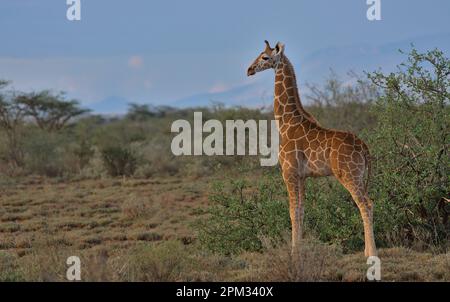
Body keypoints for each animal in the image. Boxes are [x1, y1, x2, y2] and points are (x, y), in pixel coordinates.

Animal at [248, 40, 378, 258]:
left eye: (265, 57)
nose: (249, 70)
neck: (286, 123)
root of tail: (364, 147)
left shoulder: (289, 172)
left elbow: (292, 212)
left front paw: (294, 252)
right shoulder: (302, 176)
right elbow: (301, 211)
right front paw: (299, 249)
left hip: (348, 175)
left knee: (366, 204)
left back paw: (371, 253)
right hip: (359, 175)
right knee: (367, 204)